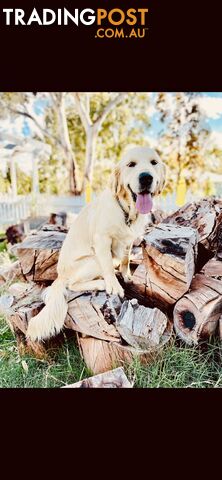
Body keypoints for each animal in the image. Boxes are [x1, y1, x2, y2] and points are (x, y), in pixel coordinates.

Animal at [26, 146, 166, 342]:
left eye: (154, 162)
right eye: (131, 164)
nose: (146, 177)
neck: (125, 210)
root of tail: (60, 275)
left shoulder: (129, 240)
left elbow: (126, 260)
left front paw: (127, 275)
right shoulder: (102, 240)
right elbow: (108, 267)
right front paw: (114, 286)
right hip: (92, 260)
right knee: (73, 284)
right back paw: (100, 283)